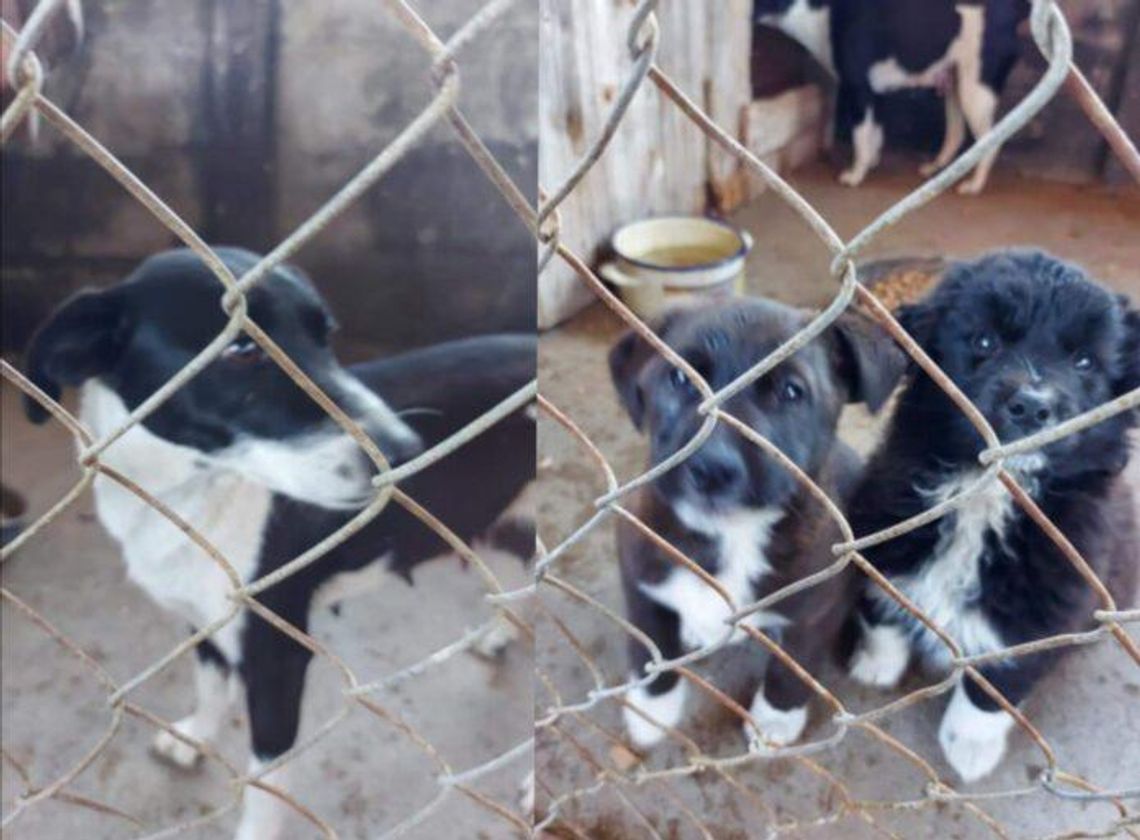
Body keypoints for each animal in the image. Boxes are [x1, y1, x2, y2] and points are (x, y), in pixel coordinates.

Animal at [24, 246, 535, 834]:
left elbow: (265, 789)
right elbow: (210, 687)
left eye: (326, 337)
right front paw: (195, 738)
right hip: (503, 524)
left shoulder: (279, 659)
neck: (189, 498)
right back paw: (501, 633)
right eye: (242, 348)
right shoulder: (205, 619)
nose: (408, 452)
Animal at [611, 298, 902, 752]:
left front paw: (775, 721)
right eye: (679, 377)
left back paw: (882, 655)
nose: (711, 470)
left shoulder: (813, 614)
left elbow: (789, 675)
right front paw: (651, 711)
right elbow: (649, 653)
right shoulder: (642, 585)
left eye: (791, 391)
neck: (732, 535)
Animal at [752, 0, 1030, 191]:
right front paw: (871, 163)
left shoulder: (857, 90)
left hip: (976, 93)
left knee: (991, 141)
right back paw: (937, 168)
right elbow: (874, 134)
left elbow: (860, 137)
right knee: (955, 135)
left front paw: (856, 174)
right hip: (956, 88)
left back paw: (974, 185)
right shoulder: (874, 94)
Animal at [848, 247, 1140, 779]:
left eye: (1085, 361)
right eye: (984, 340)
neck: (984, 498)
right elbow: (883, 607)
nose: (1031, 406)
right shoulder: (884, 530)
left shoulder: (1042, 612)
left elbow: (999, 681)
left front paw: (969, 745)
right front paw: (877, 663)